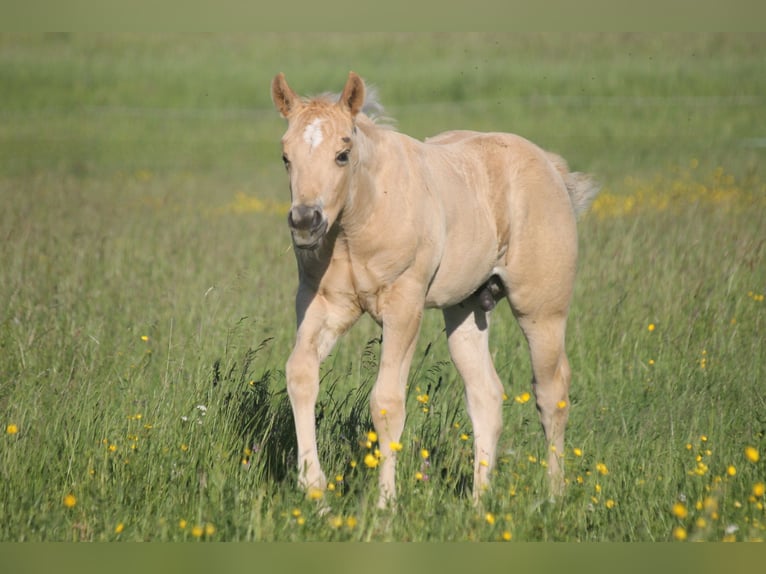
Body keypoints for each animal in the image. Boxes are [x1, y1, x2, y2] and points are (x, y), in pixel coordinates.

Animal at [271, 71, 599, 507]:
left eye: (342, 154)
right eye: (285, 157)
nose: (306, 222)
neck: (357, 222)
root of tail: (550, 166)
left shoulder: (403, 308)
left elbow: (387, 403)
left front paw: (385, 504)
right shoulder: (322, 304)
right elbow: (301, 376)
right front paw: (315, 491)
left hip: (542, 311)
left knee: (551, 392)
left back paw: (553, 495)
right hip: (466, 309)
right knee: (486, 395)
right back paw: (478, 503)